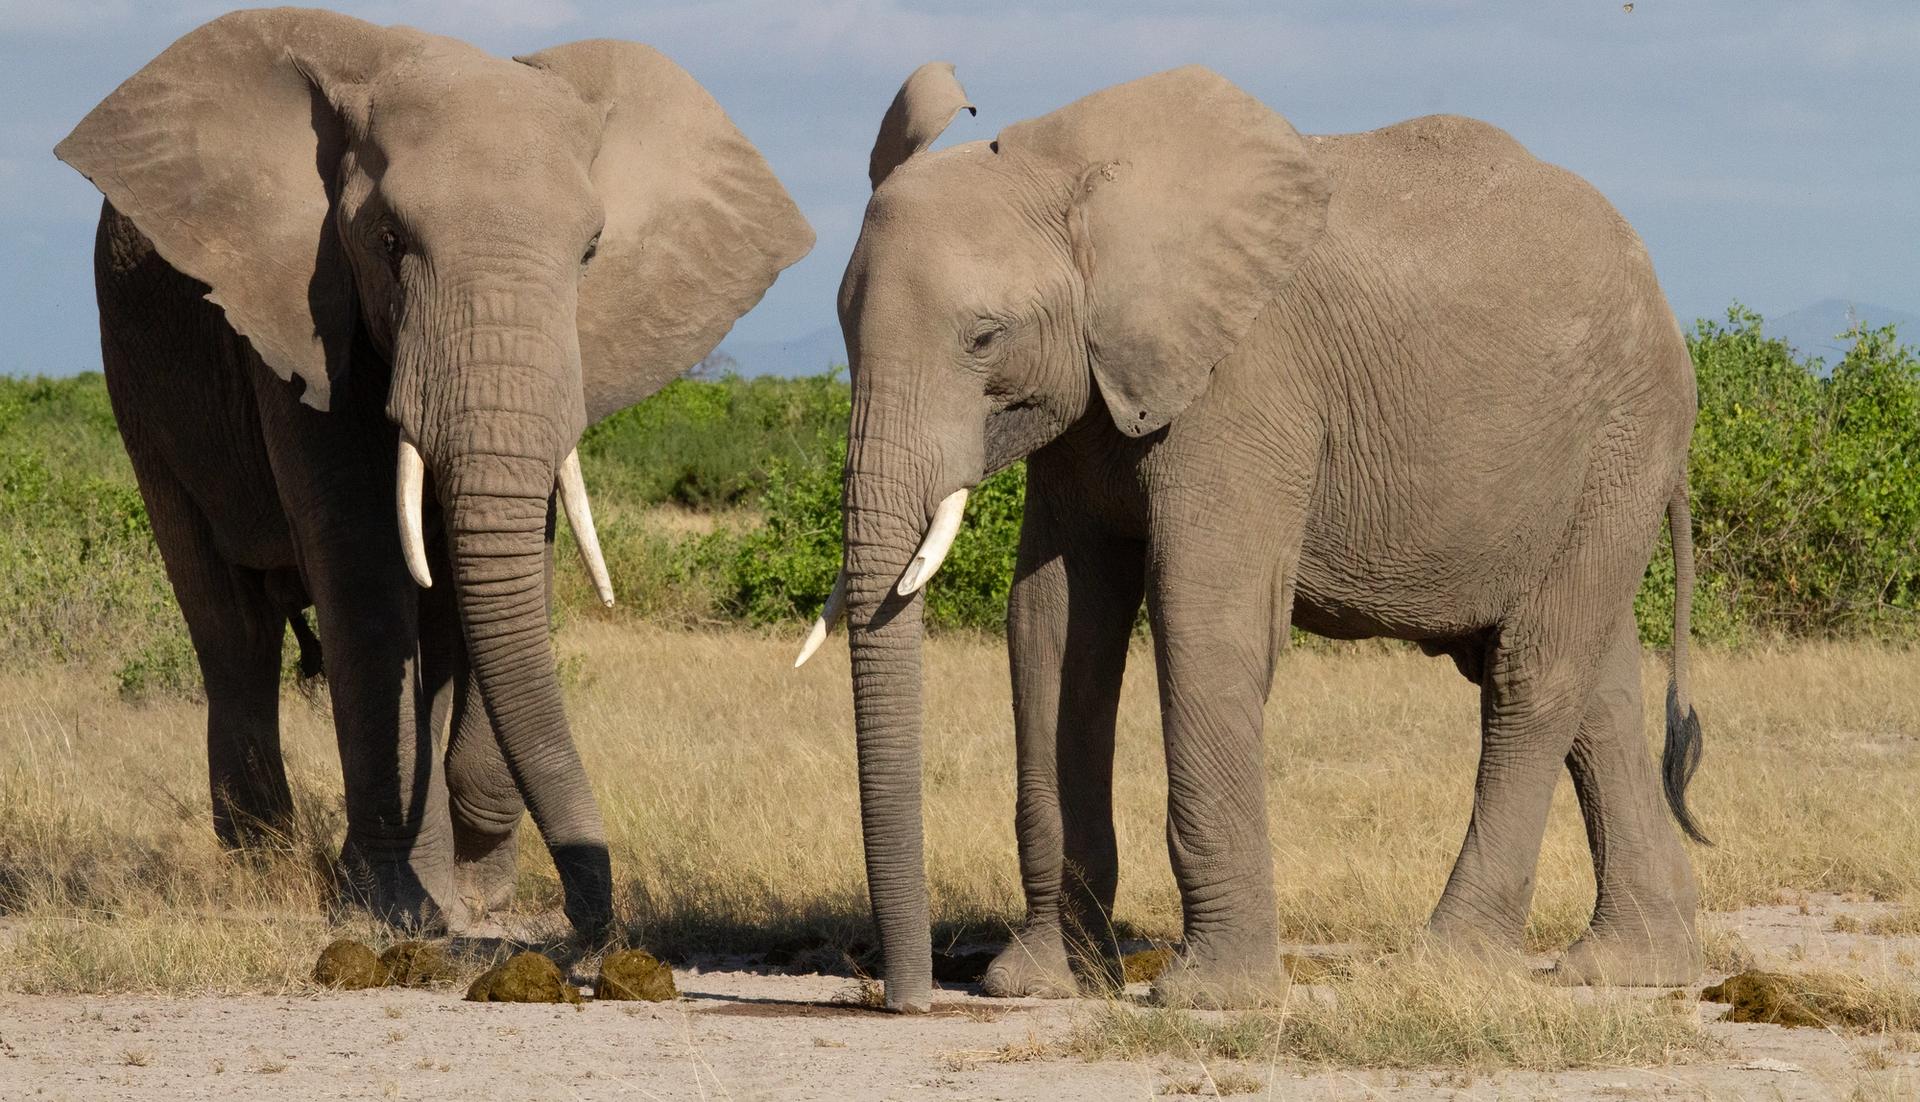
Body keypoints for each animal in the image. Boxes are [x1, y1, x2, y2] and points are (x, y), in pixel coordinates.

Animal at [55, 8, 813, 938]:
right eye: (388, 243)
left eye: (591, 251)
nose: (589, 926)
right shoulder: (300, 314)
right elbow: (365, 565)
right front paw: (396, 907)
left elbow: (513, 567)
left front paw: (476, 895)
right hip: (136, 378)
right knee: (231, 626)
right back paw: (264, 861)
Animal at [796, 62, 1706, 1011]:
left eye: (984, 337)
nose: (907, 999)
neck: (1074, 181)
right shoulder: (1088, 397)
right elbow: (1050, 627)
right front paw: (1039, 985)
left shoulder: (1245, 383)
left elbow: (1206, 619)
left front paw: (1210, 998)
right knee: (1598, 686)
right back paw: (1633, 968)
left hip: (1625, 438)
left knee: (1533, 673)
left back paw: (1447, 966)